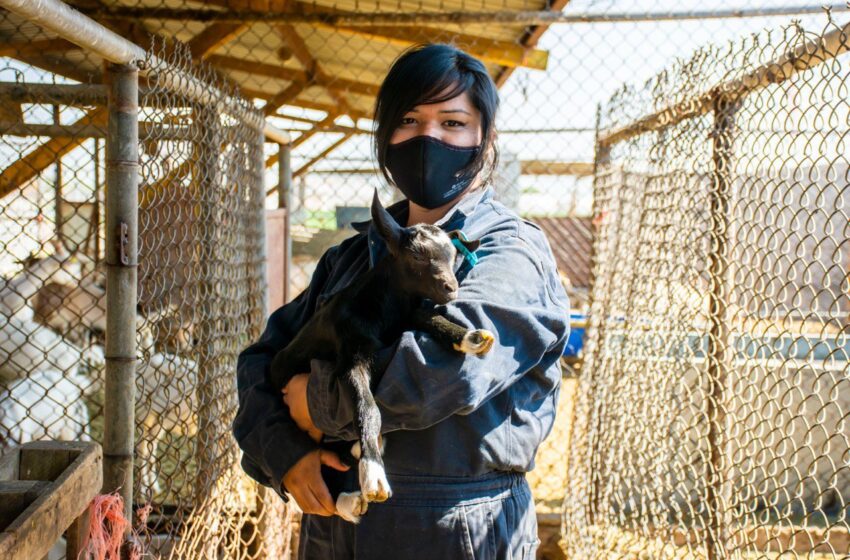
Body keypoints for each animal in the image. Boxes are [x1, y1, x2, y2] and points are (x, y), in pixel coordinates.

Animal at [268, 190, 494, 524]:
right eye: (416, 256)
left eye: (454, 257)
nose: (451, 289)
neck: (386, 307)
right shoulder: (352, 356)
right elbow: (368, 408)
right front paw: (373, 475)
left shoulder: (409, 315)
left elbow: (429, 318)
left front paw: (470, 337)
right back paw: (350, 499)